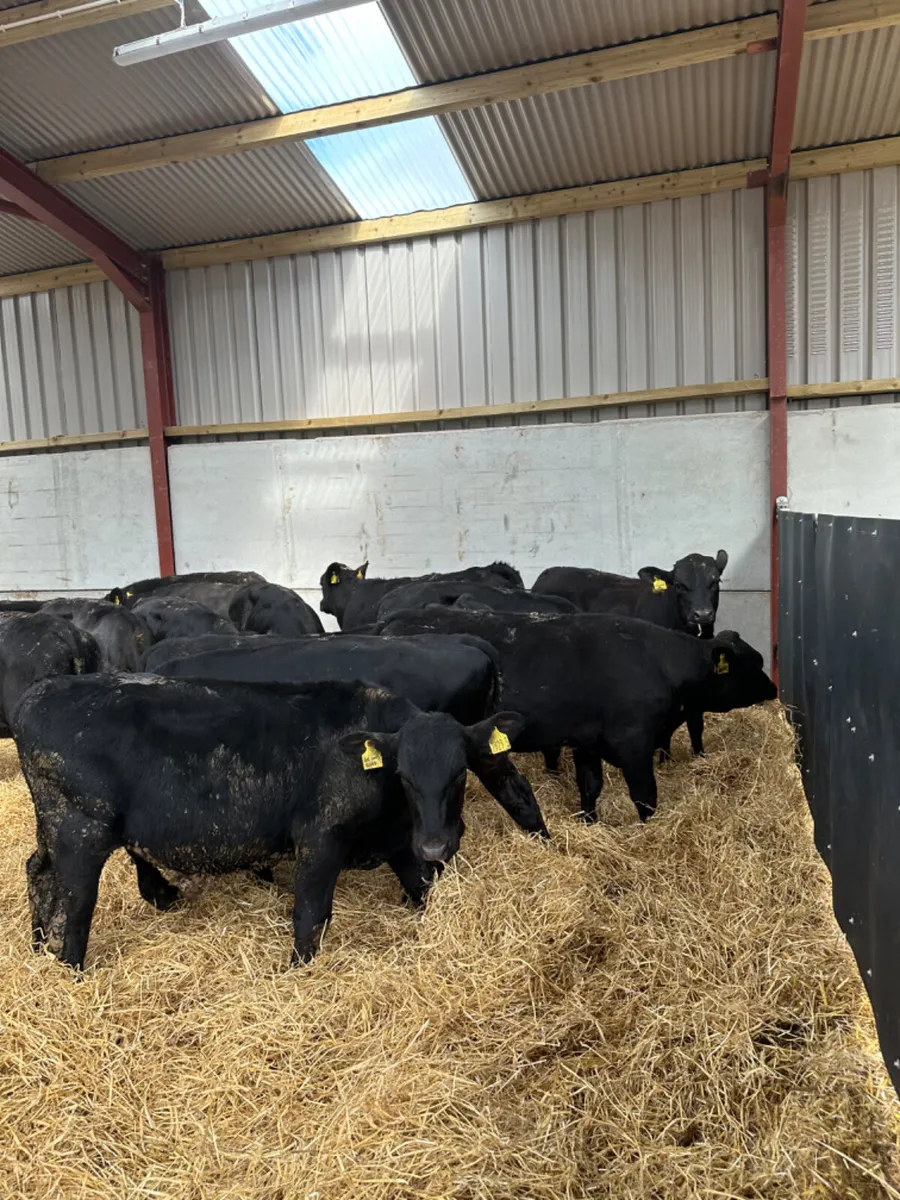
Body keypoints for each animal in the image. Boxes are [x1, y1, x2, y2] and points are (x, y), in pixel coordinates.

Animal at [14, 674, 528, 968]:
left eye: (460, 773)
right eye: (404, 775)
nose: (437, 845)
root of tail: (34, 696)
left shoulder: (402, 843)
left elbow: (423, 893)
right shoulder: (320, 838)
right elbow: (311, 915)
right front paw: (298, 973)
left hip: (53, 828)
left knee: (38, 871)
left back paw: (39, 950)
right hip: (81, 830)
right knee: (75, 903)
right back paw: (70, 969)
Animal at [377, 606, 776, 825]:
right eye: (754, 664)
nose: (773, 689)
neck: (659, 662)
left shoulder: (586, 741)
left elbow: (590, 786)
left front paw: (588, 822)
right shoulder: (634, 745)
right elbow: (645, 796)